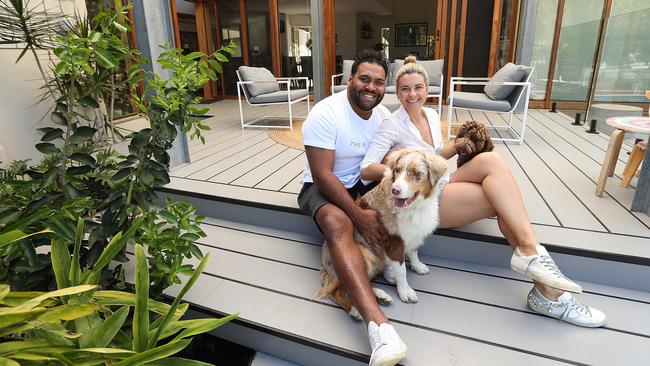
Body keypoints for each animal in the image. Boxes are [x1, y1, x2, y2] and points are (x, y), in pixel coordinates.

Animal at [316, 147, 448, 318]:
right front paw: (405, 291)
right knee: (340, 288)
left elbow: (414, 252)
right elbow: (401, 270)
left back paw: (381, 295)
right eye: (397, 170)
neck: (413, 208)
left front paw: (418, 266)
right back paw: (355, 310)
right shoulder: (394, 242)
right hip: (365, 255)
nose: (395, 190)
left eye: (416, 173)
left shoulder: (413, 233)